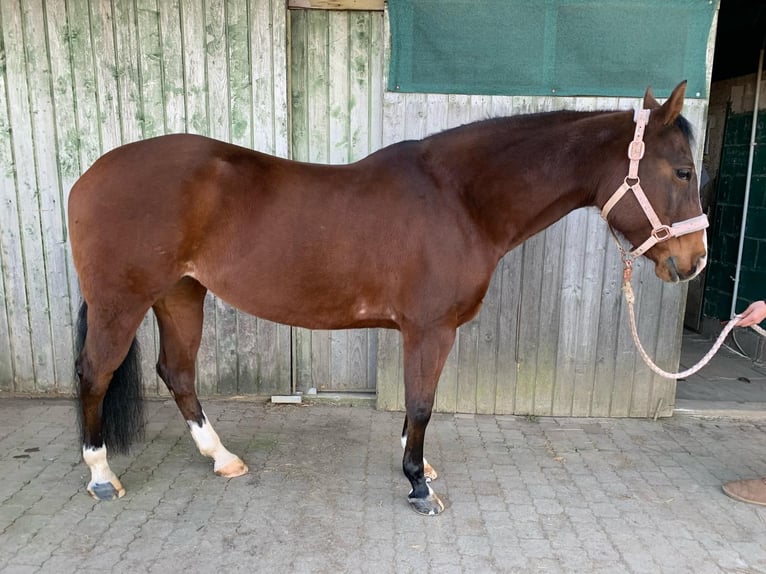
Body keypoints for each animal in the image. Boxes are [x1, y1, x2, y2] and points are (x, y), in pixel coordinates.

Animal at [72, 82, 708, 516]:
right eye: (682, 171)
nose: (694, 261)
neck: (460, 198)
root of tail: (90, 175)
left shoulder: (420, 331)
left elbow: (413, 404)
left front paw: (419, 464)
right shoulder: (431, 328)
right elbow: (423, 403)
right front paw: (418, 486)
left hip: (181, 293)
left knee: (177, 372)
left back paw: (221, 458)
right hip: (122, 301)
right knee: (94, 373)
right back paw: (101, 476)